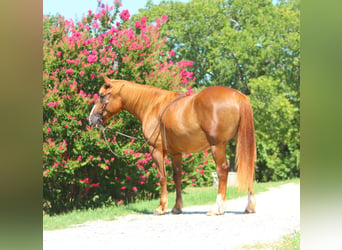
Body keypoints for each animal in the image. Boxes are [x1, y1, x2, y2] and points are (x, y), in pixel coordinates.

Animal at [89, 77, 255, 215]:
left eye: (102, 96)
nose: (91, 119)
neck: (152, 106)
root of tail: (238, 96)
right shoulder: (176, 153)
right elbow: (177, 177)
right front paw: (177, 208)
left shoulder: (156, 150)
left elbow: (162, 177)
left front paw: (161, 207)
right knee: (248, 167)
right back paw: (250, 206)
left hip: (217, 146)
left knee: (222, 171)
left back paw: (217, 208)